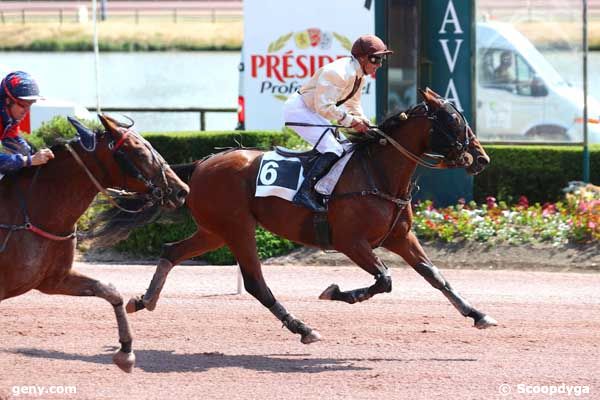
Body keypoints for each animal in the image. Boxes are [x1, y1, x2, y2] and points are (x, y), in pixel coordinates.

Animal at [0, 115, 188, 372]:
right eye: (139, 152)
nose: (181, 191)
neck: (30, 215)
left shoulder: (53, 279)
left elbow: (109, 291)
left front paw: (126, 351)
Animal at [127, 87, 496, 344]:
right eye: (454, 121)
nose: (481, 159)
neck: (377, 174)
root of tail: (202, 164)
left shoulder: (400, 237)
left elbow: (436, 276)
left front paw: (478, 314)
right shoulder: (350, 241)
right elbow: (385, 280)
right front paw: (335, 292)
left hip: (214, 231)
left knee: (171, 251)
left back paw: (144, 300)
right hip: (237, 229)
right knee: (256, 283)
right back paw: (303, 328)